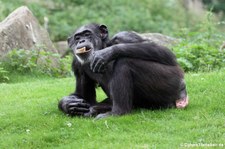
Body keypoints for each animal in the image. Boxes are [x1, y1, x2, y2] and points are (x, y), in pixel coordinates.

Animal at [58, 23, 188, 118]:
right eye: (77, 38)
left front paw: (107, 53)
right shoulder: (76, 64)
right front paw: (67, 104)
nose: (81, 41)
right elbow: (84, 97)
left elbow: (164, 52)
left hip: (170, 82)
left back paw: (117, 112)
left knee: (124, 62)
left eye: (87, 34)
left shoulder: (125, 36)